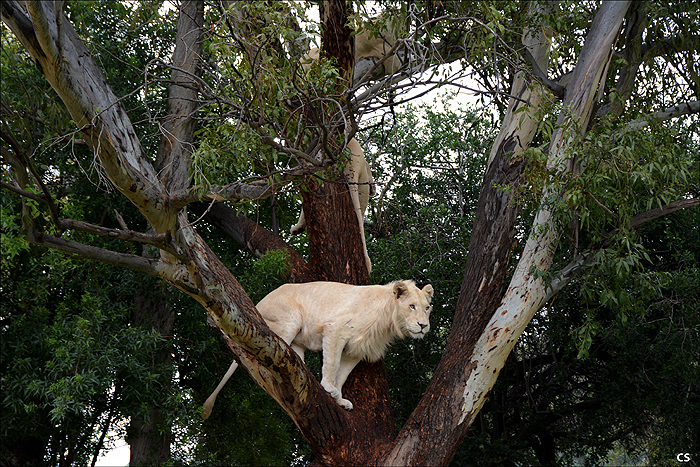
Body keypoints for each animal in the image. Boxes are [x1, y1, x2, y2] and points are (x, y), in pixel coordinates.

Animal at [201, 280, 432, 418]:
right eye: (411, 306)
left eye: (427, 307)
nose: (423, 325)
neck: (387, 318)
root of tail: (257, 304)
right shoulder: (335, 330)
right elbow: (332, 364)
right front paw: (328, 387)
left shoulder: (355, 350)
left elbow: (342, 373)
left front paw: (339, 399)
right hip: (288, 319)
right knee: (269, 356)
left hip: (298, 338)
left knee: (294, 361)